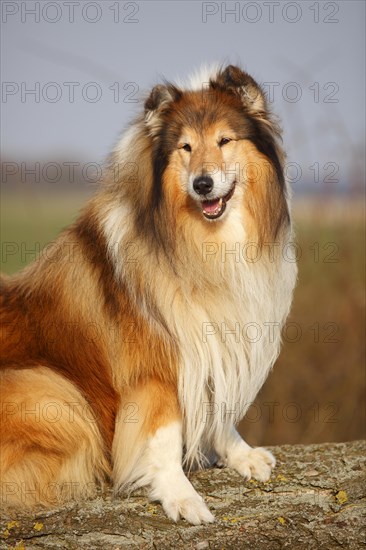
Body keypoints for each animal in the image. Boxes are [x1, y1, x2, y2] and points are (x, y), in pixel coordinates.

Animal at [0, 64, 298, 528]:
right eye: (185, 147)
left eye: (224, 140)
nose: (202, 184)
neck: (205, 244)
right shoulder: (156, 363)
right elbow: (164, 433)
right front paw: (181, 496)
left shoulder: (215, 341)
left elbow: (218, 409)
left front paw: (241, 455)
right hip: (51, 391)